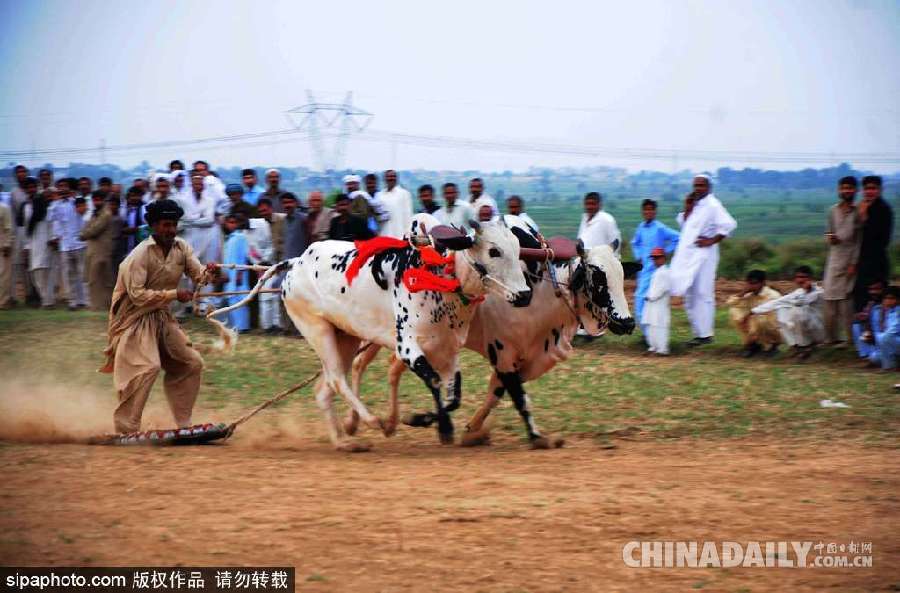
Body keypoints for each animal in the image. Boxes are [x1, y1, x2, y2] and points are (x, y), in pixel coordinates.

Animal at [348, 215, 636, 446]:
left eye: (621, 275)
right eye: (598, 278)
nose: (627, 322)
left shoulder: (522, 360)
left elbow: (495, 394)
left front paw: (472, 429)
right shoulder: (504, 354)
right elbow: (519, 398)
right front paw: (535, 436)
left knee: (393, 369)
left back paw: (390, 422)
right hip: (376, 332)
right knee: (358, 364)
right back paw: (355, 421)